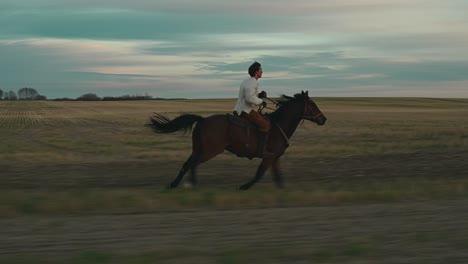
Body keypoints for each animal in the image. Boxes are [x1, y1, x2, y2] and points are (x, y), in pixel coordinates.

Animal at [146, 91, 326, 190]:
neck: (277, 125)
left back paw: (183, 184)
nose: (323, 119)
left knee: (188, 164)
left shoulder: (275, 157)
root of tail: (202, 120)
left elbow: (278, 176)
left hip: (198, 149)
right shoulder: (268, 157)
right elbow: (259, 174)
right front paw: (244, 186)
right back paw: (183, 184)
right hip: (209, 151)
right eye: (313, 104)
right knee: (191, 164)